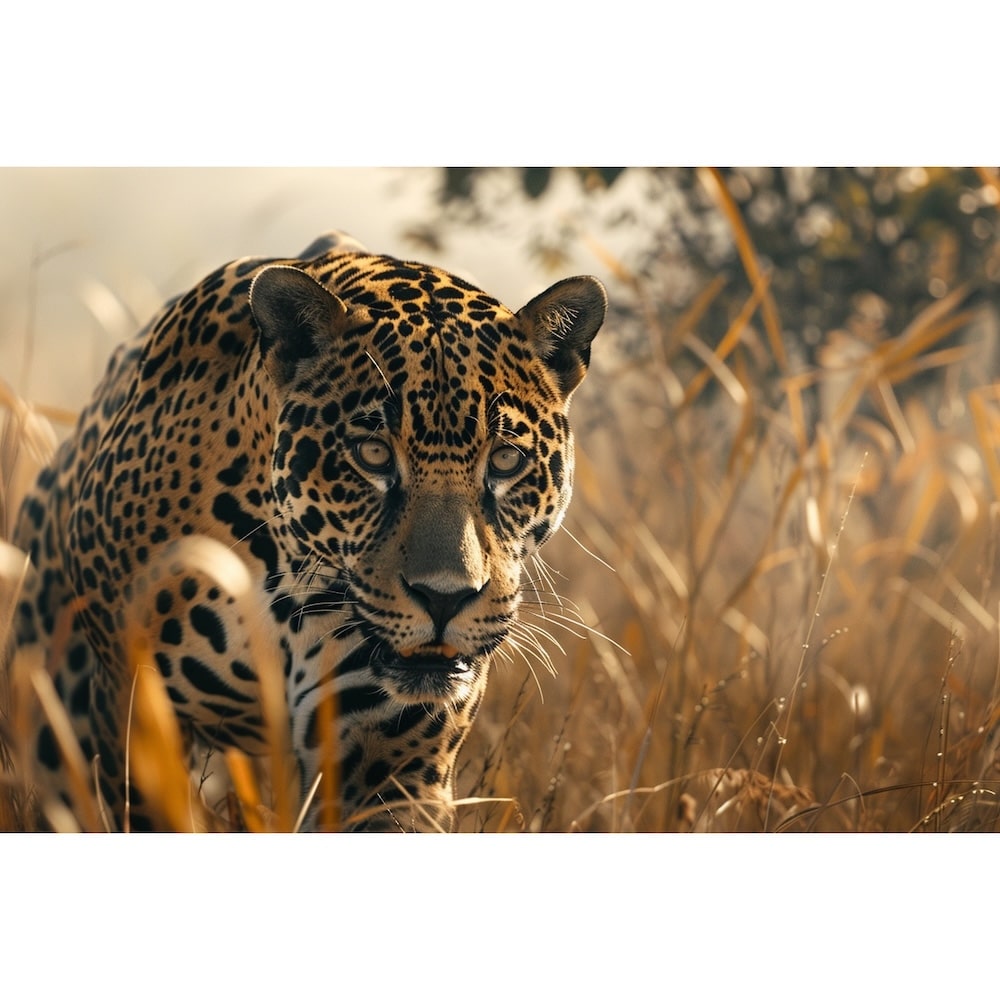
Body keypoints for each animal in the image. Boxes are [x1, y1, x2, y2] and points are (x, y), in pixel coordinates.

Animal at [11, 230, 606, 831]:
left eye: (506, 460)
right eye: (373, 454)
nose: (445, 598)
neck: (286, 578)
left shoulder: (387, 759)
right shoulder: (136, 718)